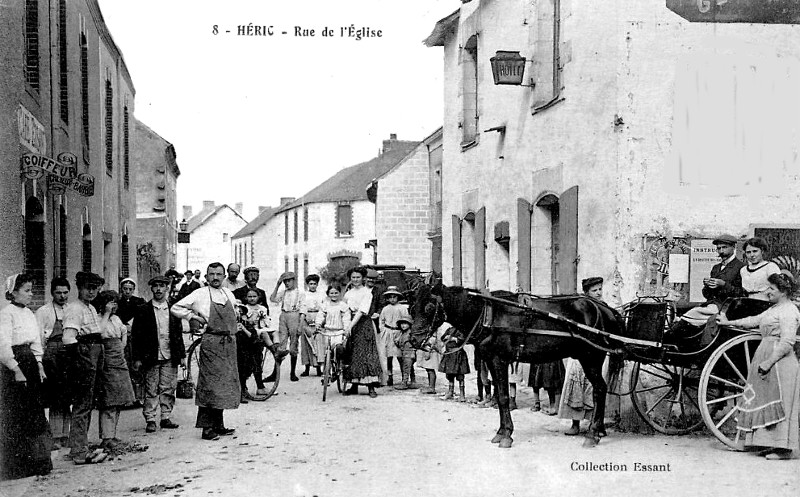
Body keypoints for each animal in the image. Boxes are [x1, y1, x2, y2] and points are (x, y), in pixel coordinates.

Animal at [410, 282, 628, 450]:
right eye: (412, 308)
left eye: (429, 308)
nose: (413, 340)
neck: (487, 313)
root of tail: (605, 308)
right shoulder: (491, 360)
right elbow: (499, 396)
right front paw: (500, 432)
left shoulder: (499, 360)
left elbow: (504, 397)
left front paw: (507, 435)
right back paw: (598, 431)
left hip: (591, 357)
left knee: (599, 389)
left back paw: (592, 434)